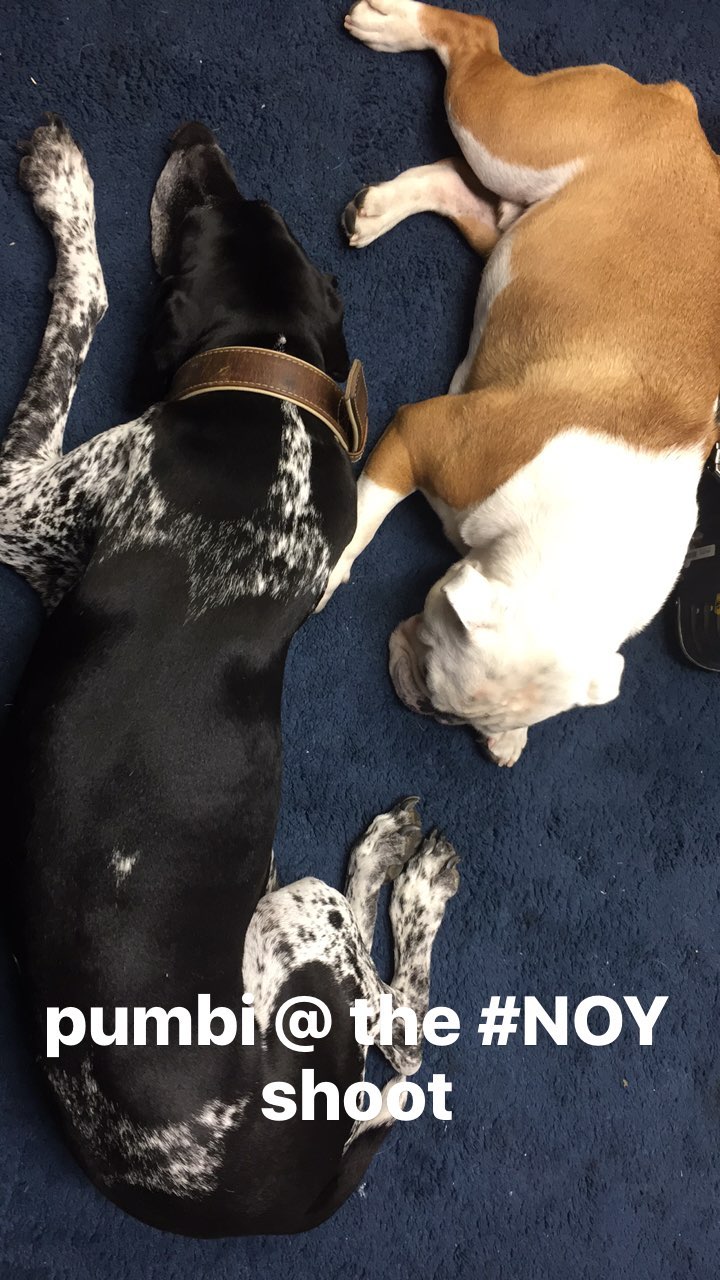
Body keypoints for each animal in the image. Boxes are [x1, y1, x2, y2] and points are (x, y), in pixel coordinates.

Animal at [0, 117, 459, 1236]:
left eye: (204, 213)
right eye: (267, 209)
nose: (195, 134)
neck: (273, 394)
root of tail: (276, 1192)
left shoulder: (21, 499)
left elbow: (86, 304)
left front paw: (65, 190)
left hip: (302, 916)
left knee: (402, 1031)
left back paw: (408, 871)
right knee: (396, 1053)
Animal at [320, 0, 720, 766]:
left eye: (460, 714)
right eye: (431, 680)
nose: (421, 707)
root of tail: (684, 117)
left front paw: (513, 739)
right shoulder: (419, 433)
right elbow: (362, 518)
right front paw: (326, 571)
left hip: (517, 211)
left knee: (468, 193)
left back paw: (381, 208)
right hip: (510, 134)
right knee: (476, 42)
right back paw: (397, 23)